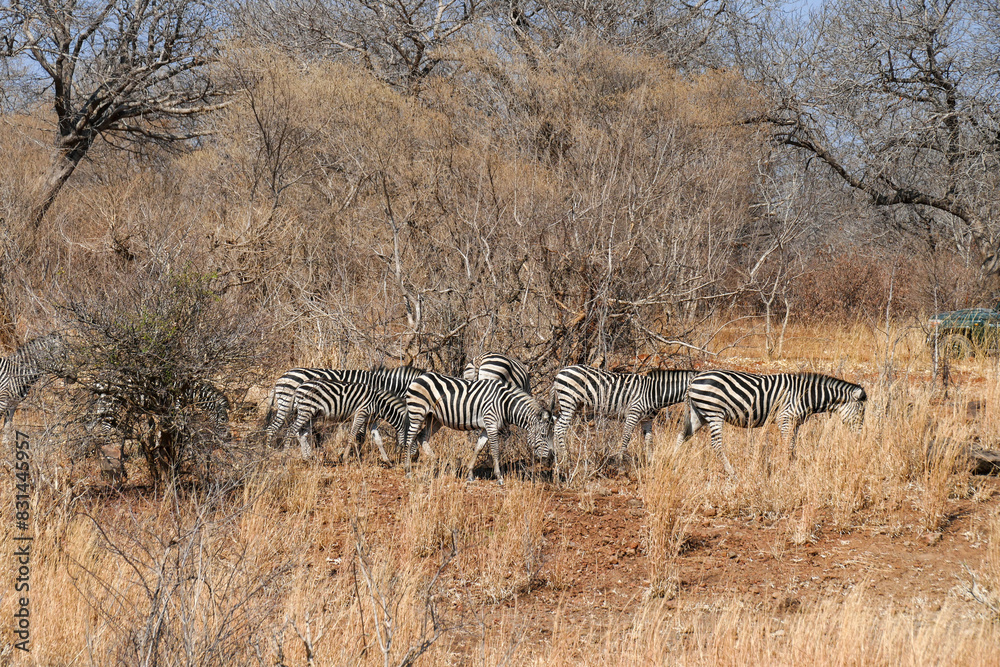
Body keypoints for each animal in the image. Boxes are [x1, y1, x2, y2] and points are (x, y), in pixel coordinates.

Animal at [264, 365, 425, 446]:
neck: (380, 384)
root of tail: (281, 377)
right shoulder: (363, 407)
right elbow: (361, 435)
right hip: (288, 405)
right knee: (274, 428)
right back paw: (270, 452)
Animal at [404, 372, 553, 484]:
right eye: (543, 435)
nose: (550, 459)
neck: (505, 404)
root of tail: (419, 377)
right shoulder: (491, 423)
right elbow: (495, 450)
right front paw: (499, 477)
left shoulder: (487, 427)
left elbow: (478, 448)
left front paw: (470, 474)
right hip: (417, 412)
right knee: (409, 439)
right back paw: (408, 471)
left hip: (434, 418)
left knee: (422, 436)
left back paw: (436, 462)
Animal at [549, 365, 695, 470]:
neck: (655, 393)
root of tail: (560, 372)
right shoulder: (633, 413)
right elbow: (626, 436)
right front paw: (620, 461)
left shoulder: (647, 420)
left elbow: (649, 440)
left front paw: (650, 462)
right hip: (569, 401)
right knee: (560, 428)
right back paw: (566, 458)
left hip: (573, 405)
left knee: (557, 426)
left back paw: (558, 456)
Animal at [676, 370, 867, 477]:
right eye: (861, 412)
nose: (859, 439)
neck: (806, 395)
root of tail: (694, 379)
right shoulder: (785, 419)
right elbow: (787, 445)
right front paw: (787, 470)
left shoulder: (795, 423)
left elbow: (793, 446)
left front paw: (793, 467)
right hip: (714, 412)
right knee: (716, 444)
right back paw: (732, 473)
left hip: (699, 414)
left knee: (682, 436)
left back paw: (674, 462)